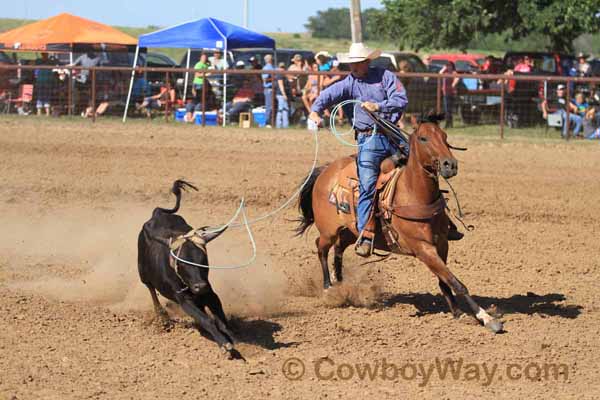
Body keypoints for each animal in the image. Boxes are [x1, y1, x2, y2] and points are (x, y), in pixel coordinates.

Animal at [296, 115, 502, 334]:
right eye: (423, 138)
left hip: (351, 232)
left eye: (445, 137)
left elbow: (445, 280)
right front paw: (487, 318)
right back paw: (329, 288)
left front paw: (457, 312)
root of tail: (326, 170)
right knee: (321, 248)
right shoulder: (423, 248)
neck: (414, 193)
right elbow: (456, 281)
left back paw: (341, 284)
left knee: (339, 249)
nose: (450, 165)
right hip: (329, 230)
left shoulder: (441, 244)